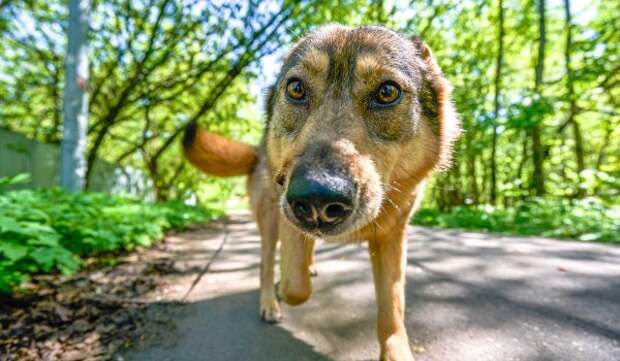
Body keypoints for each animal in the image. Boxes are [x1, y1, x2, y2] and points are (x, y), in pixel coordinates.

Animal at [182, 23, 458, 358]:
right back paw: (270, 301)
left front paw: (396, 351)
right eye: (296, 89)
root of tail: (257, 151)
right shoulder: (287, 218)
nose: (317, 197)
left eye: (387, 92)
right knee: (266, 265)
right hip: (269, 221)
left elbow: (392, 310)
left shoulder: (392, 238)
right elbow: (295, 286)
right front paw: (284, 288)